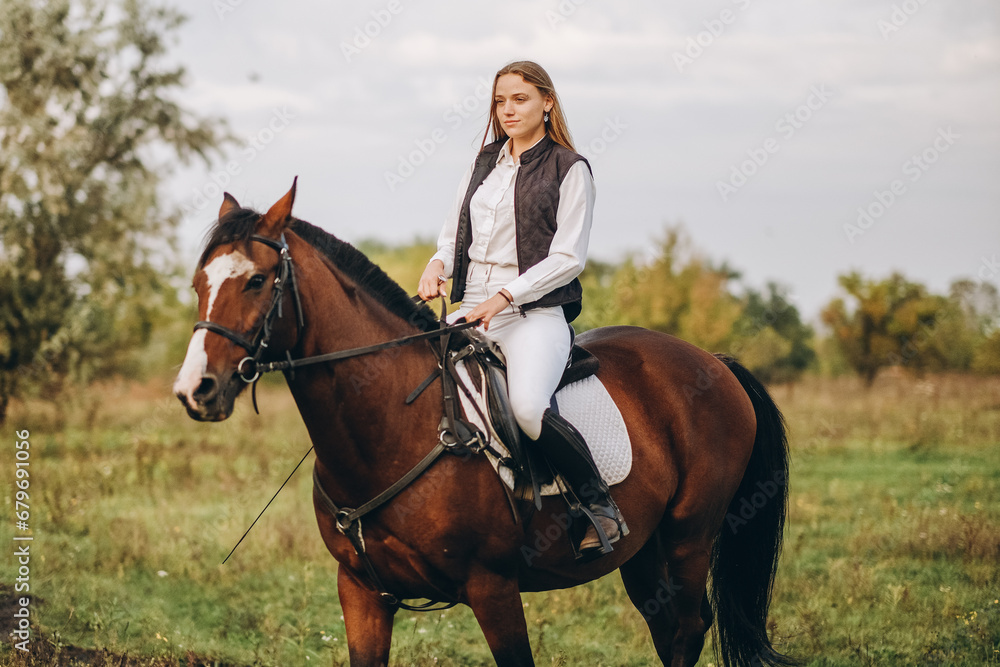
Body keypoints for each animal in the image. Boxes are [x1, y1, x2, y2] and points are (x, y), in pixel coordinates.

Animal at [173, 180, 794, 667]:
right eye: (199, 283)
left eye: (256, 281)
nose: (195, 389)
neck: (395, 428)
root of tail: (714, 361)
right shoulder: (362, 593)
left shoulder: (493, 589)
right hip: (644, 551)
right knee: (670, 632)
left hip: (689, 537)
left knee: (686, 630)